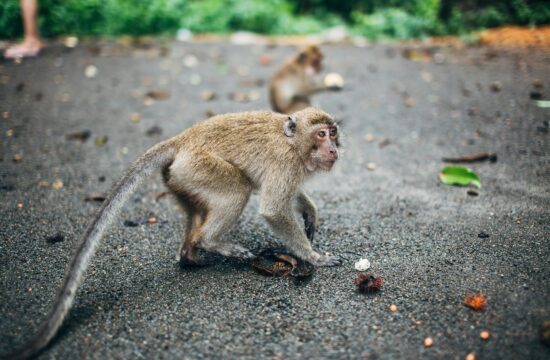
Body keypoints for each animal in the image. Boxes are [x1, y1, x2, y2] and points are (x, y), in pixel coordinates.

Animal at [6, 107, 342, 360]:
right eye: (321, 134)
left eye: (333, 132)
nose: (334, 149)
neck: (293, 143)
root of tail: (182, 139)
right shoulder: (285, 163)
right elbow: (274, 208)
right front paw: (313, 257)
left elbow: (289, 199)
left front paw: (310, 212)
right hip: (199, 168)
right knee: (238, 188)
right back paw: (211, 243)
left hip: (179, 177)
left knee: (198, 209)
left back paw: (190, 255)